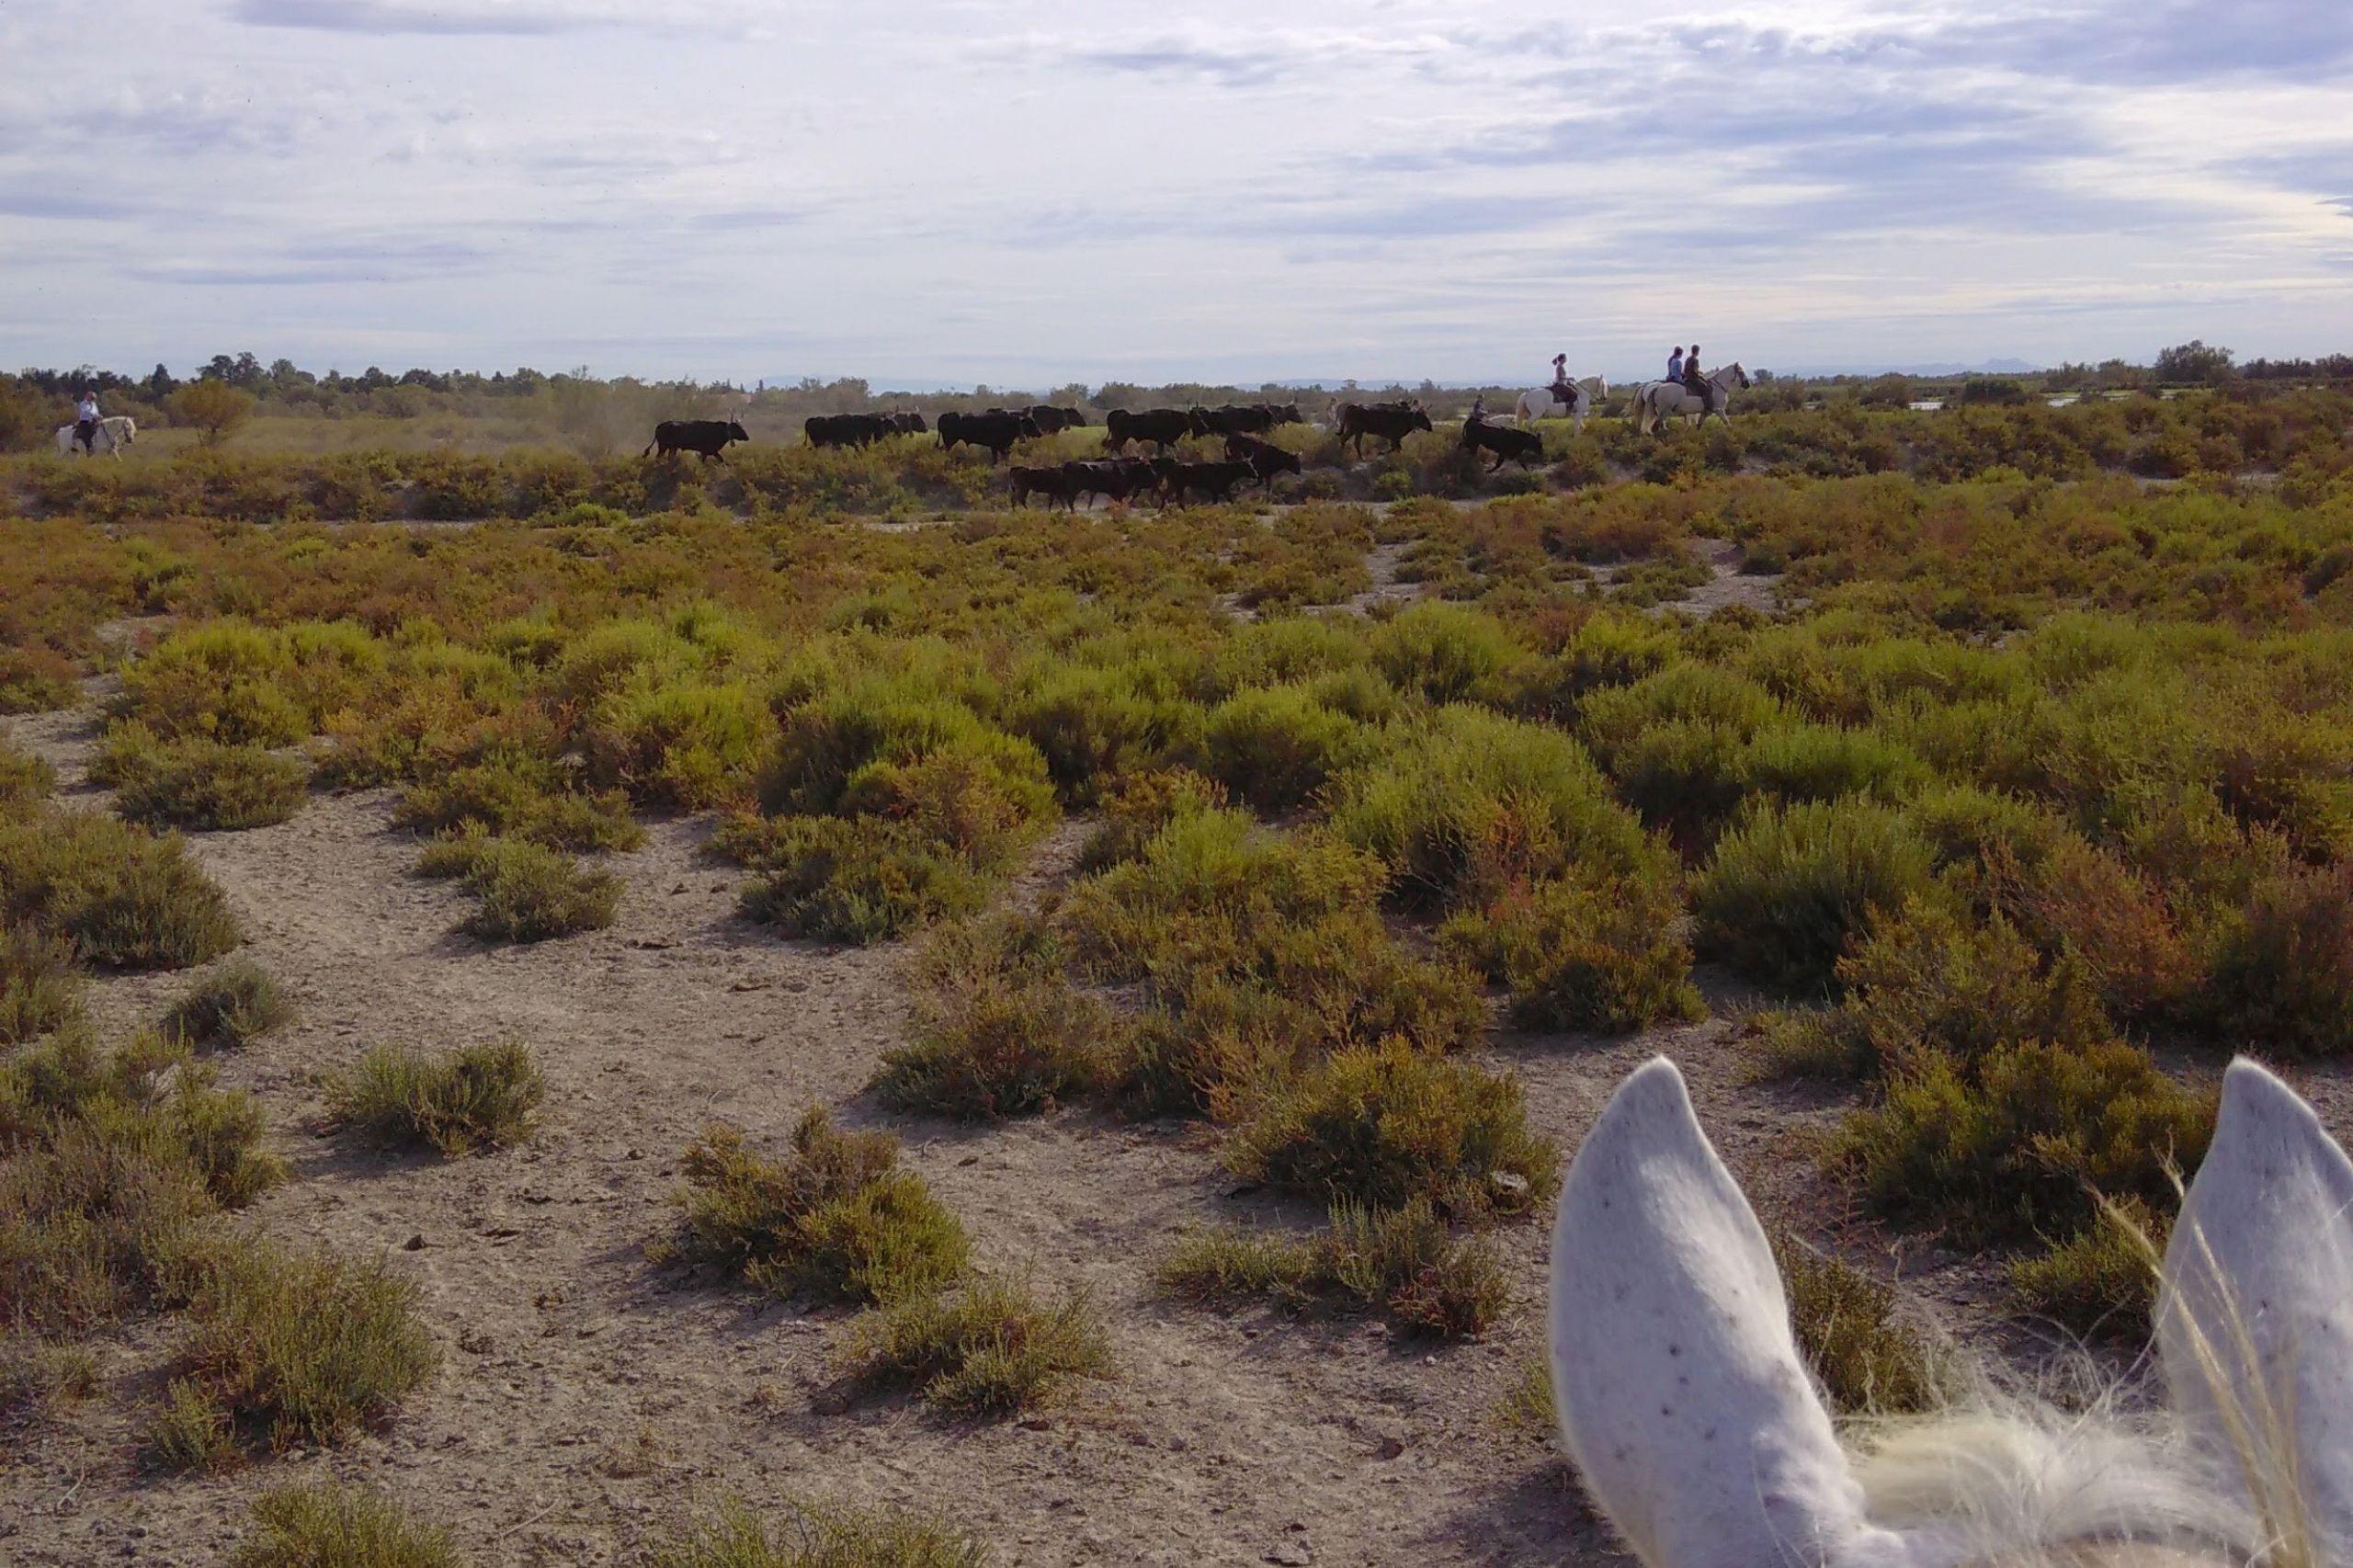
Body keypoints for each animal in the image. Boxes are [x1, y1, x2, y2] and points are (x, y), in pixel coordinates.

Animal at [1631, 364, 1750, 435]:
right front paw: (1733, 433)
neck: (1718, 386)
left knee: (1658, 424)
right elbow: (1726, 422)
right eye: (1741, 372)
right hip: (1665, 411)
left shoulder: (1704, 412)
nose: (1747, 384)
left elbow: (1698, 425)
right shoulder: (1718, 409)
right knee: (1658, 424)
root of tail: (1656, 388)